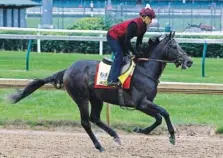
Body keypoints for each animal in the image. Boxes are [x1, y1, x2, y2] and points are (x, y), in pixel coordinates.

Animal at [8, 31, 193, 152]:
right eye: (174, 46)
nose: (189, 61)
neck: (144, 70)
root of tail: (68, 69)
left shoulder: (144, 104)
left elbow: (158, 118)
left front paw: (141, 130)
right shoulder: (141, 103)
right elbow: (164, 113)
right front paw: (171, 136)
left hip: (96, 98)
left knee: (95, 118)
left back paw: (115, 135)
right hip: (81, 98)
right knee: (86, 122)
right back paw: (99, 146)